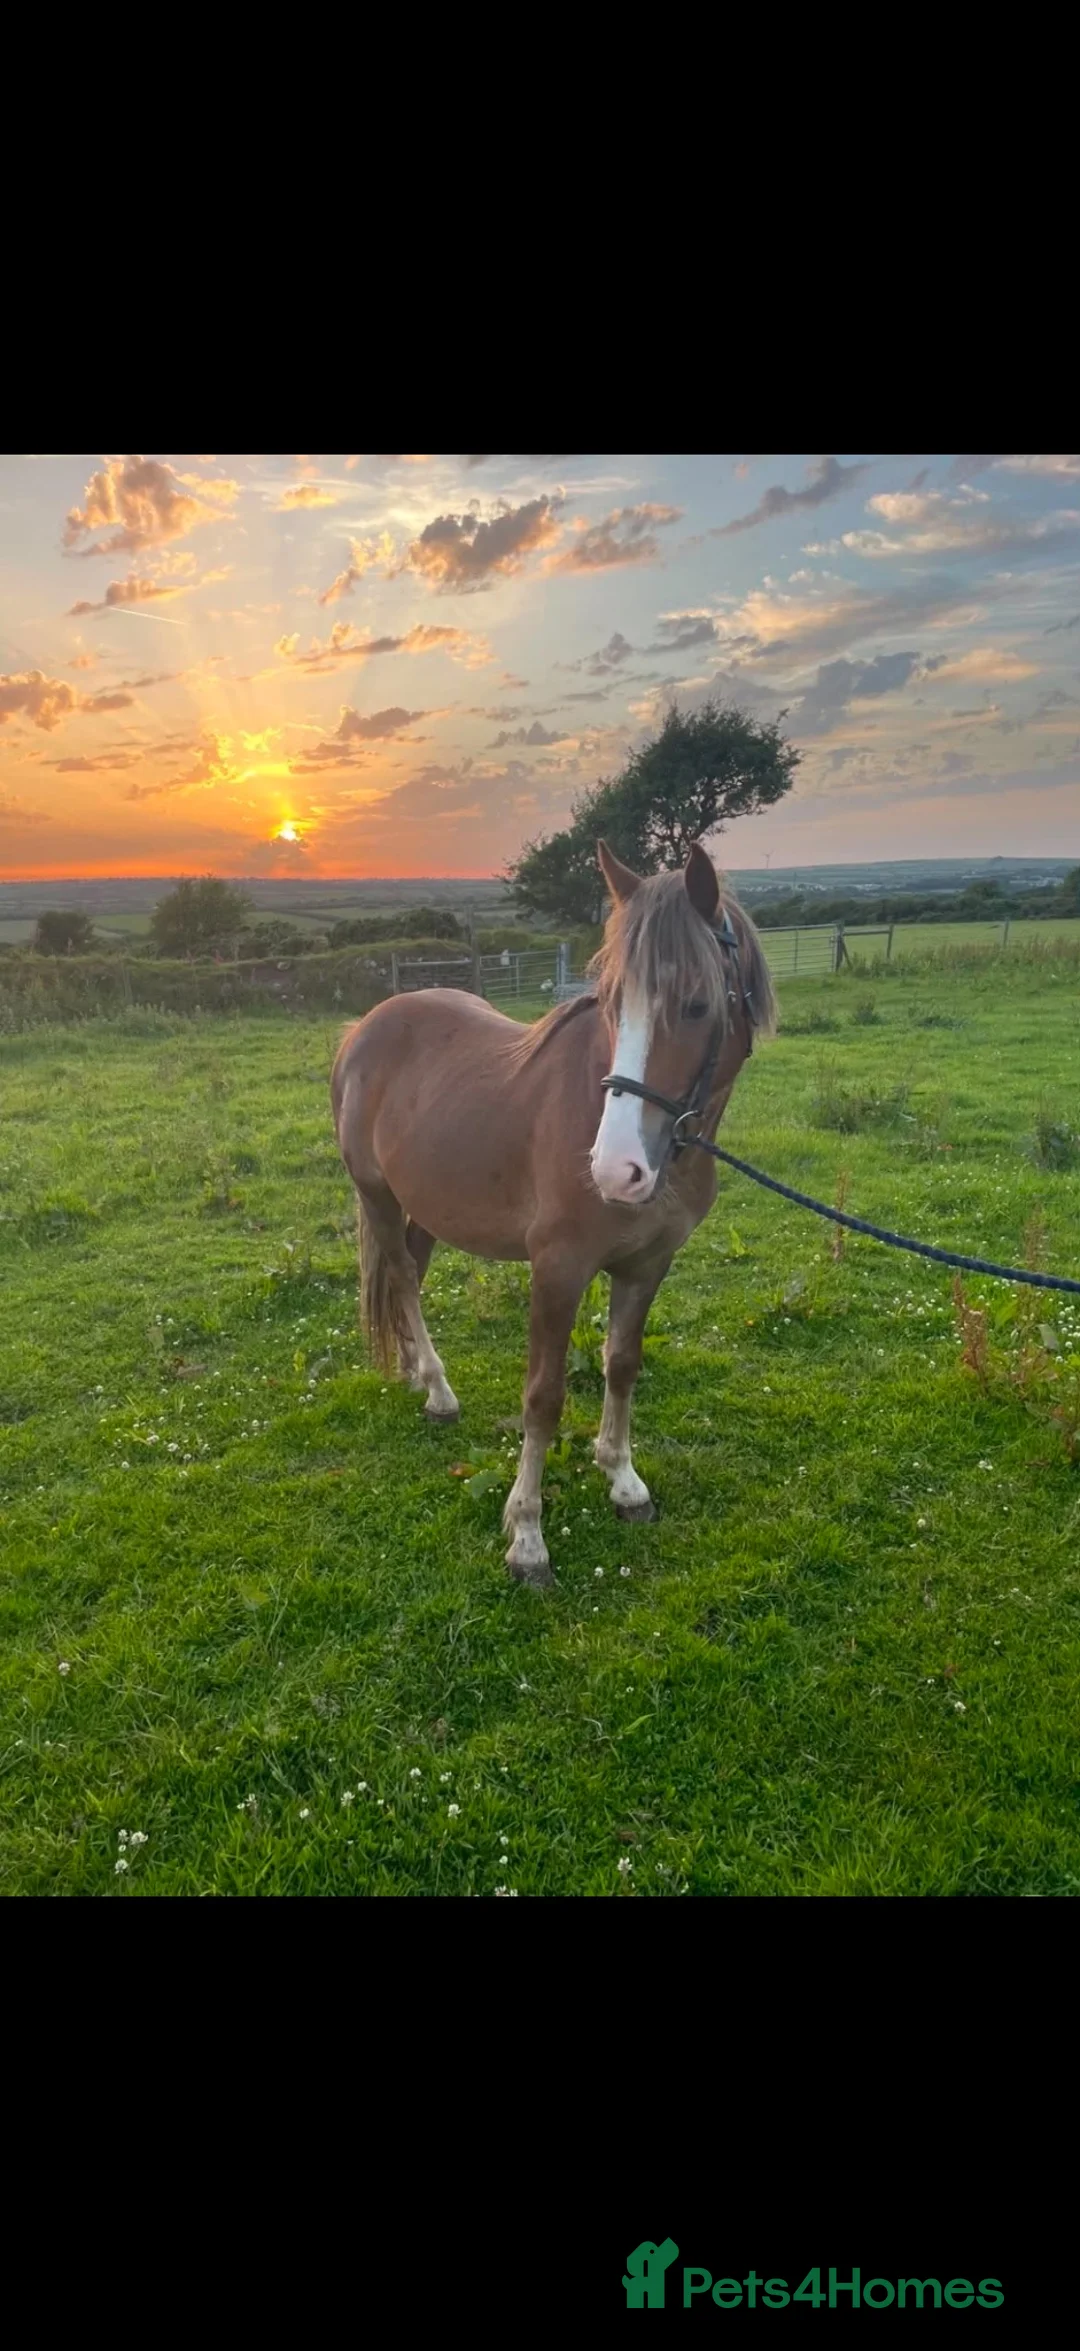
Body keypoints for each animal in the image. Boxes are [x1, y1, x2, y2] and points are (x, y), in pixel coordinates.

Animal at [330, 839, 776, 1588]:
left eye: (695, 1004)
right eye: (612, 1003)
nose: (615, 1170)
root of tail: (364, 1026)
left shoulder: (648, 1265)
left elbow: (622, 1364)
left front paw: (622, 1480)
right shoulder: (559, 1269)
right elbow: (542, 1396)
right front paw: (527, 1535)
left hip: (426, 1203)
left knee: (408, 1273)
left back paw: (422, 1374)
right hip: (378, 1196)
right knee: (401, 1279)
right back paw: (439, 1391)